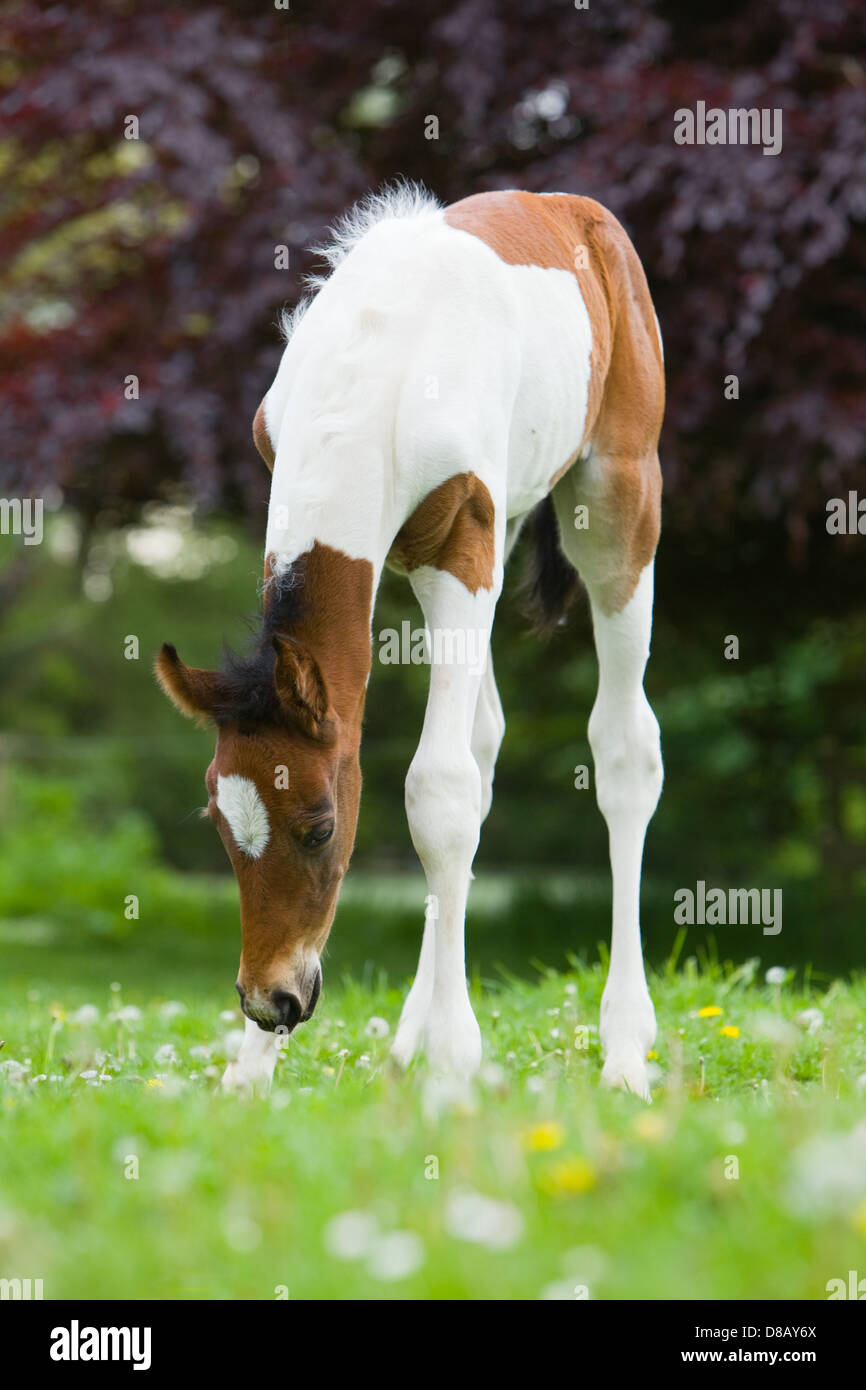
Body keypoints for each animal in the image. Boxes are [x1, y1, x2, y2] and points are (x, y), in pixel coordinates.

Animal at [155, 182, 667, 1095]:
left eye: (321, 827)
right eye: (222, 826)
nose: (270, 1000)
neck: (375, 372)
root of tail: (567, 204)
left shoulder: (460, 548)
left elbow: (438, 790)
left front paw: (457, 1061)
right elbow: (459, 778)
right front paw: (248, 1077)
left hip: (618, 503)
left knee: (623, 749)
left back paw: (623, 1051)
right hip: (514, 521)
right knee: (488, 741)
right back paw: (403, 1044)